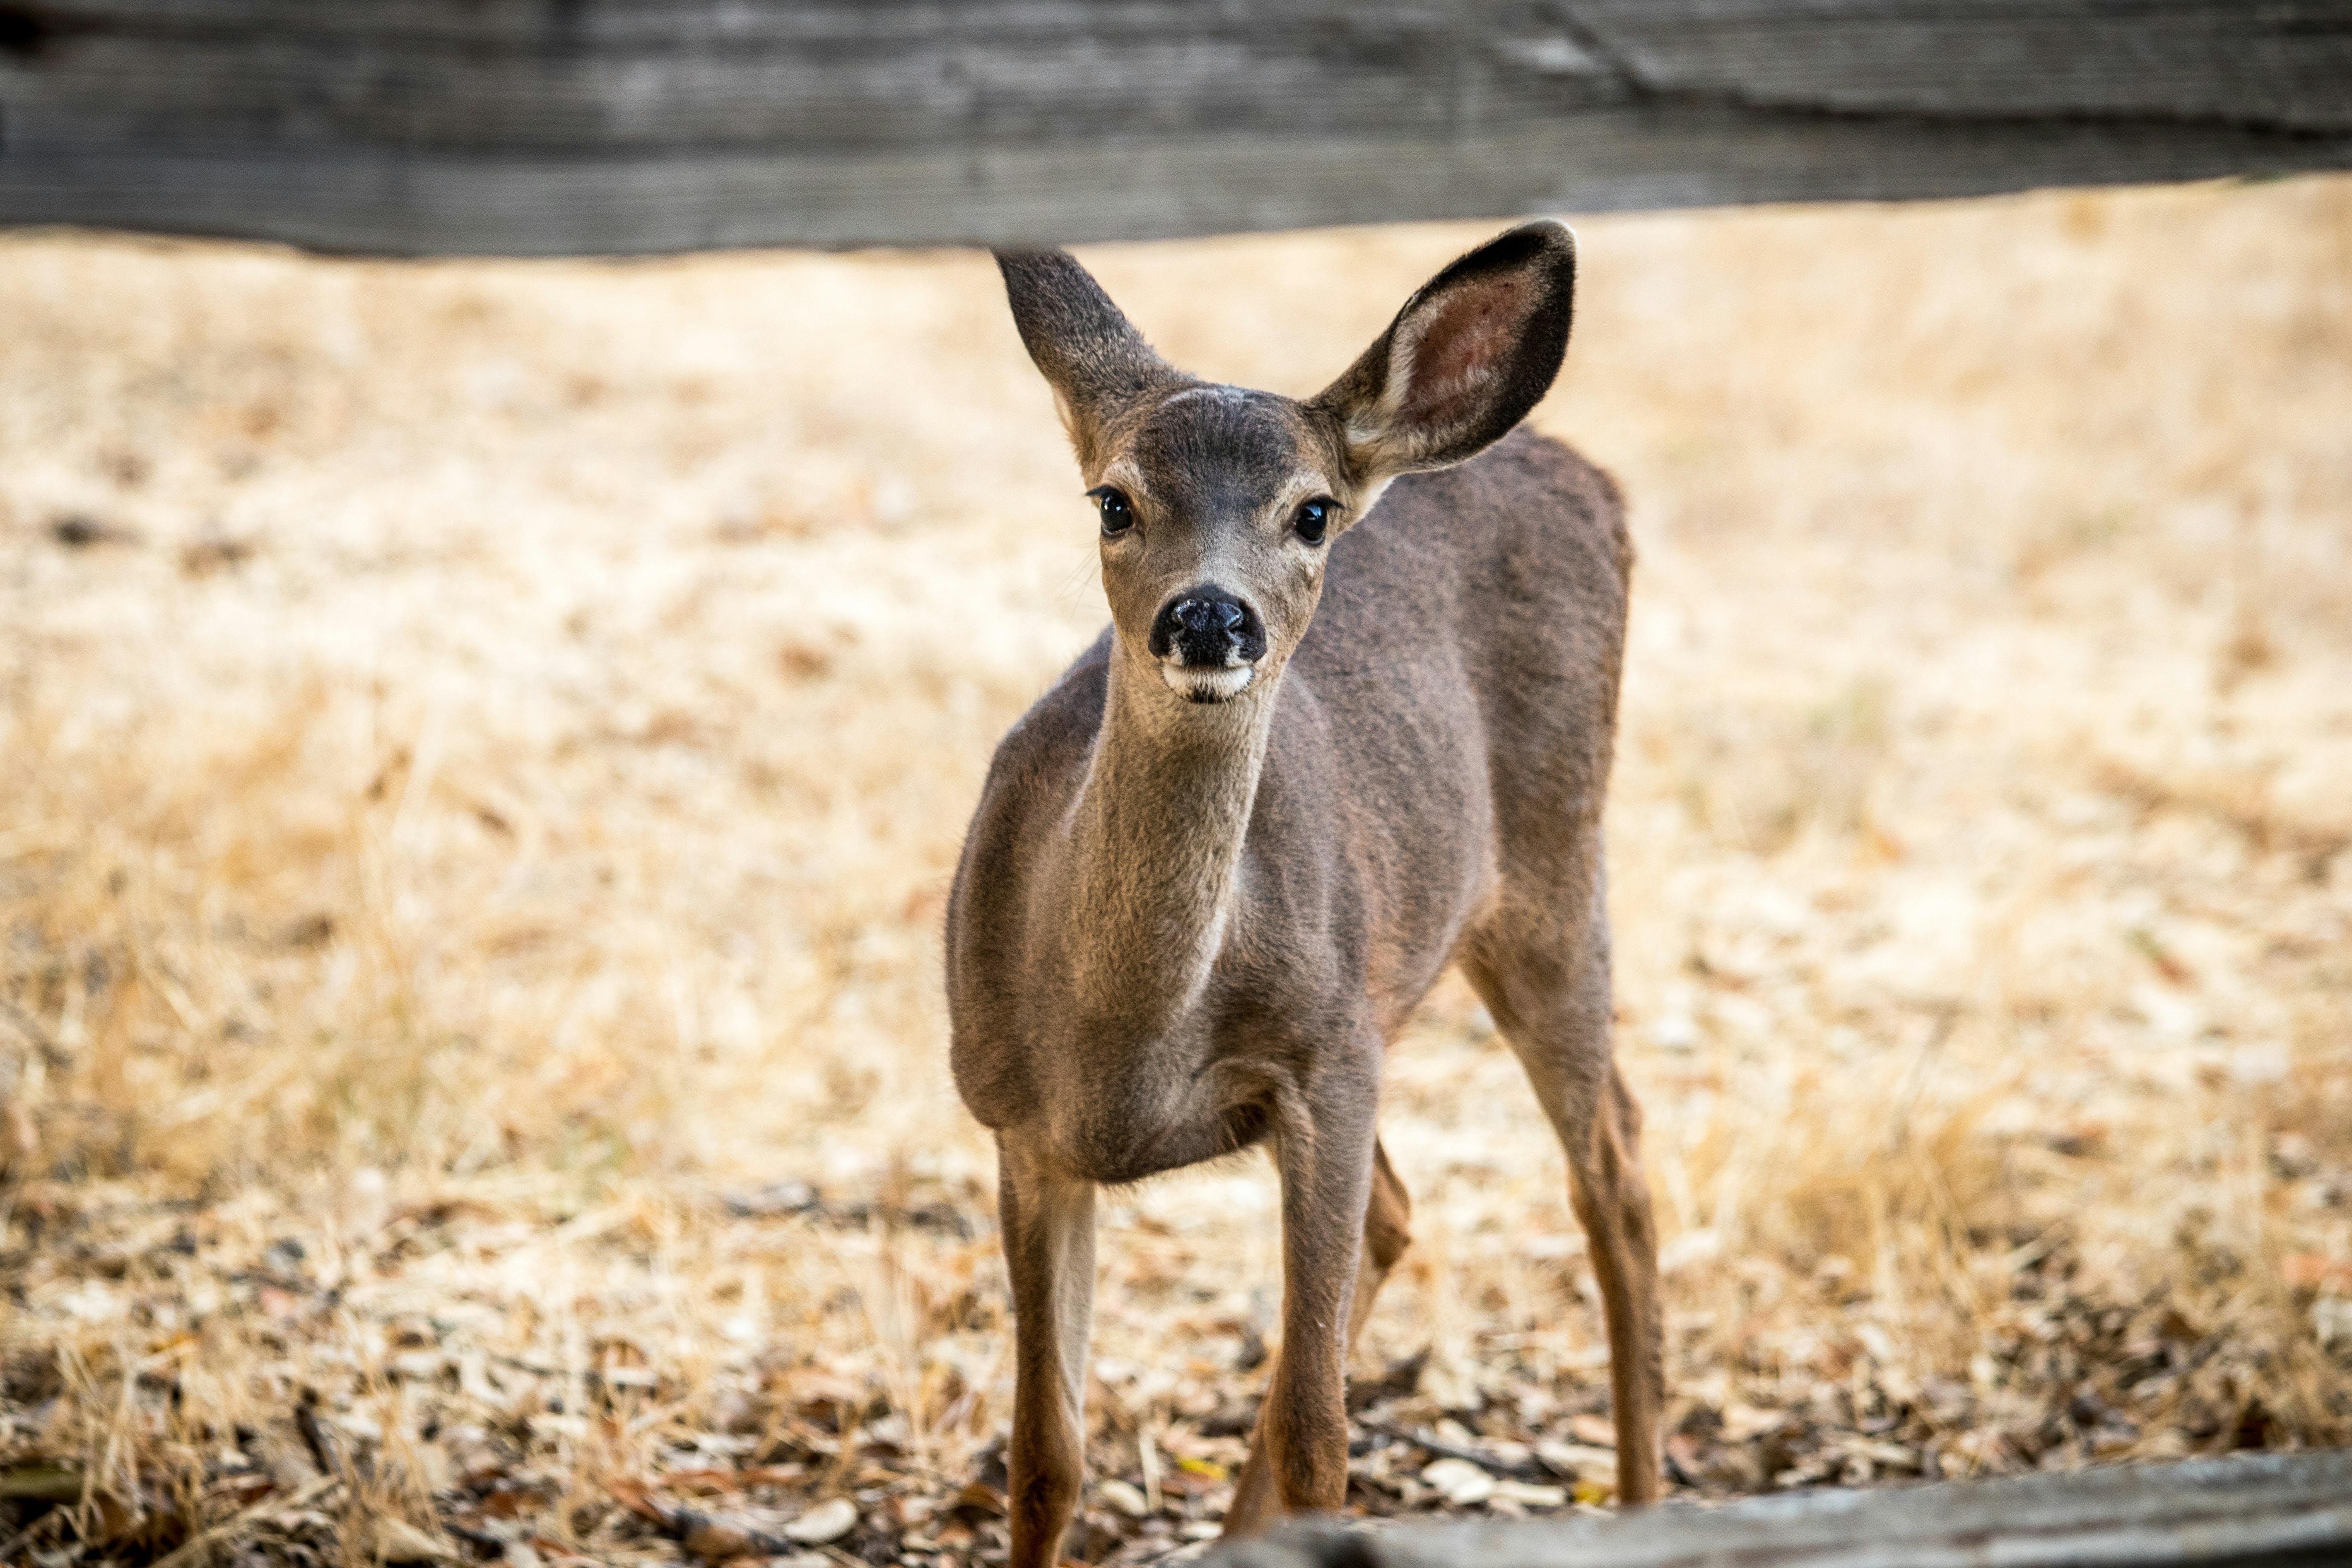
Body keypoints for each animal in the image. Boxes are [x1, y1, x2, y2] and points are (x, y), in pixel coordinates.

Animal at [945, 222, 1660, 1565]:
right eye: (1115, 499)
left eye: (1311, 512)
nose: (1210, 616)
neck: (1116, 1045)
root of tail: (1586, 469)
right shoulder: (1018, 1125)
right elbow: (1045, 1457)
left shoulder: (1324, 1065)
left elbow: (1325, 1437)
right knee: (1404, 1212)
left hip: (1551, 870)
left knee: (1616, 1176)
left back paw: (1647, 1502)